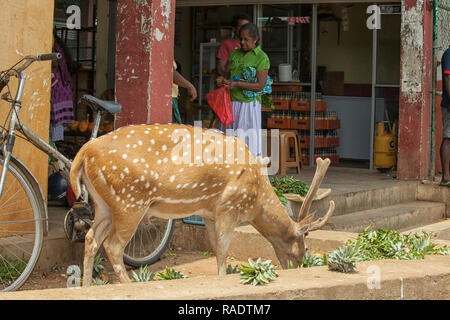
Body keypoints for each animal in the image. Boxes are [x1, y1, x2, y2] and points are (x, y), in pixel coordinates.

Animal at [71, 124, 334, 286]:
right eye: (305, 246)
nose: (298, 266)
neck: (256, 201)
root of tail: (83, 152)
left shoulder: (209, 212)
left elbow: (216, 249)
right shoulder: (229, 206)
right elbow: (223, 251)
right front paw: (222, 279)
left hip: (103, 205)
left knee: (91, 239)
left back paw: (87, 287)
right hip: (129, 201)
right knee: (113, 245)